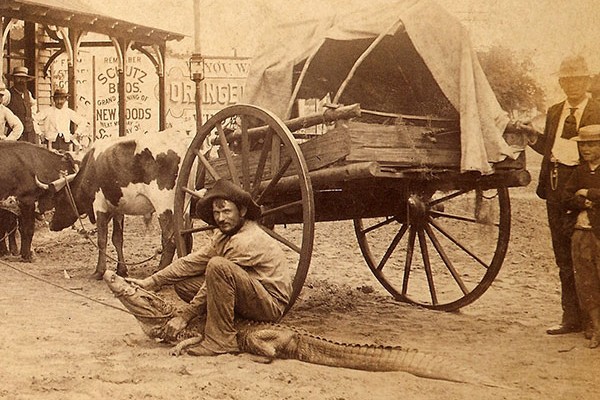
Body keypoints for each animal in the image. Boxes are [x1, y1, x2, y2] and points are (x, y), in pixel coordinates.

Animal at [37, 130, 192, 280]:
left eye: (58, 199)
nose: (51, 225)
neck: (90, 169)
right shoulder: (118, 210)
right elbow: (117, 239)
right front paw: (121, 270)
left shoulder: (99, 206)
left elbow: (102, 239)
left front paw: (99, 272)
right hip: (183, 205)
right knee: (185, 235)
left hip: (164, 206)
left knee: (169, 239)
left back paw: (161, 269)